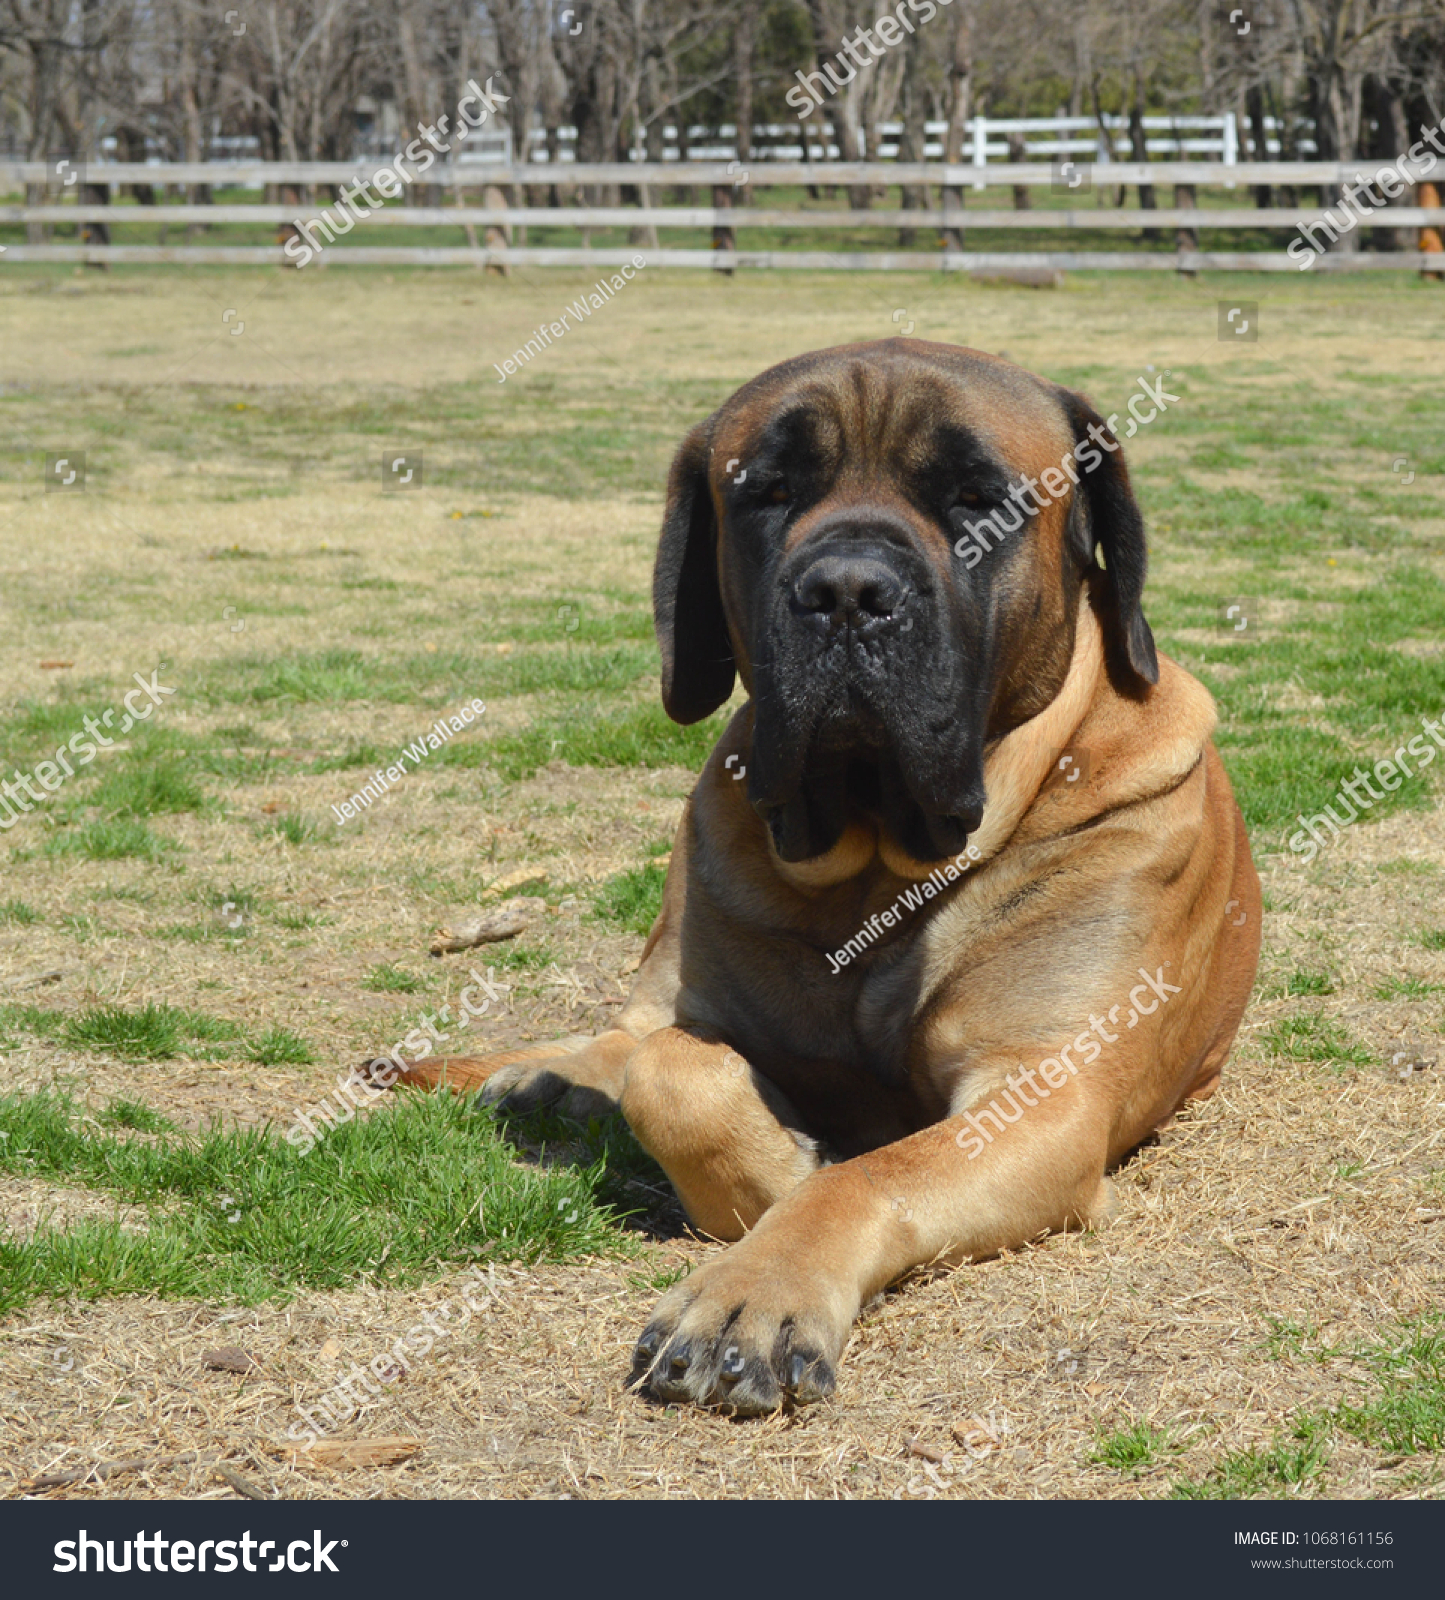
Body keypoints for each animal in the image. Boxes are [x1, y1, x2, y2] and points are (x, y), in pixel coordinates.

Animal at [376, 337, 1267, 1414]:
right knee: (624, 1035)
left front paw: (755, 1283)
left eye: (976, 497)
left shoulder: (1041, 1094)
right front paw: (769, 1161)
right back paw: (538, 1076)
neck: (874, 867)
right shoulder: (698, 985)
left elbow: (865, 1175)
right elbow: (669, 1066)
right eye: (766, 490)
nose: (845, 588)